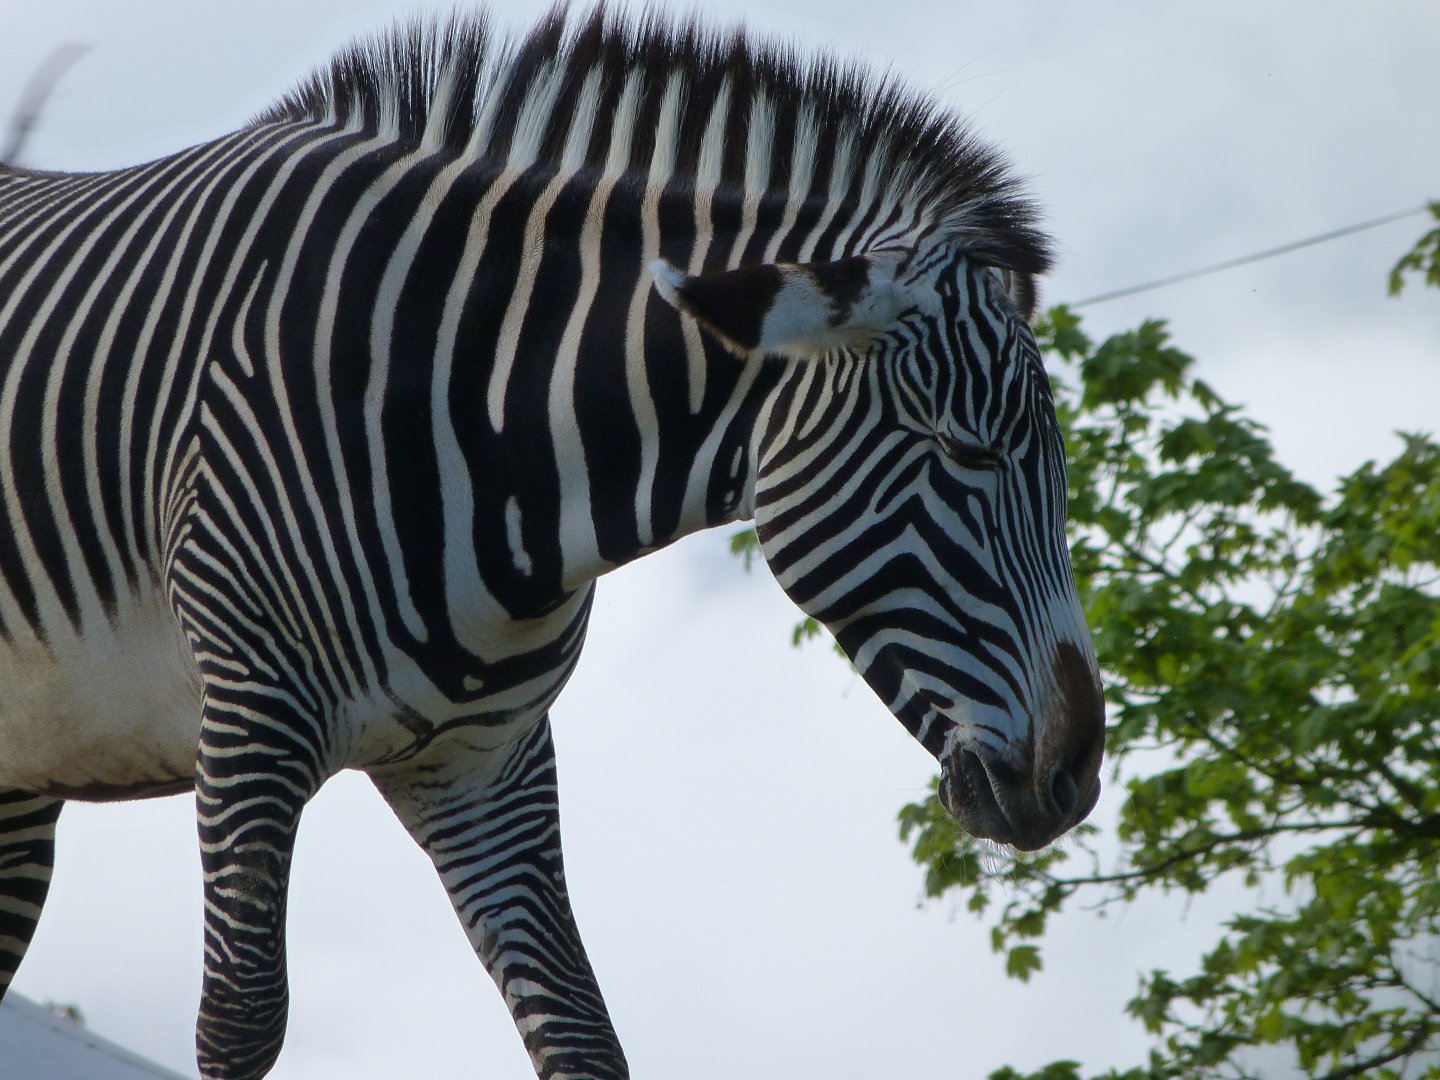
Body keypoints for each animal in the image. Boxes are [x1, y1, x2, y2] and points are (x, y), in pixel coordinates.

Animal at [0, 8, 1105, 1079]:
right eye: (964, 451)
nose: (1076, 776)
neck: (481, 419)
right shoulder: (246, 723)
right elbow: (240, 1026)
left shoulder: (487, 763)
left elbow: (582, 1035)